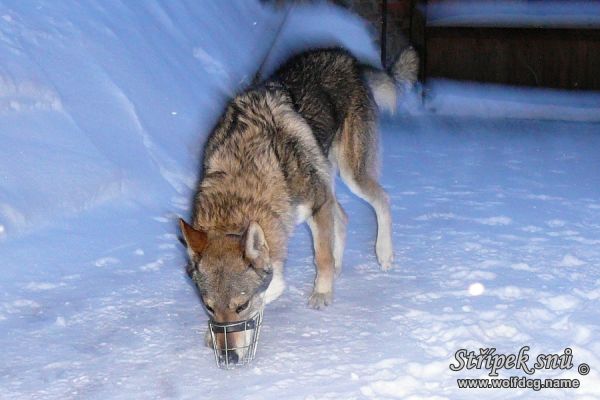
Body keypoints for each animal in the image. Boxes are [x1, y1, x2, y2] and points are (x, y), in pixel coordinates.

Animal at [180, 45, 420, 360]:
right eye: (209, 307)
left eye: (241, 306)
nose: (228, 357)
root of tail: (348, 57)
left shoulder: (316, 205)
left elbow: (318, 259)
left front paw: (322, 294)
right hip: (327, 182)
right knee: (343, 217)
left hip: (350, 177)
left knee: (382, 200)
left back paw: (384, 254)